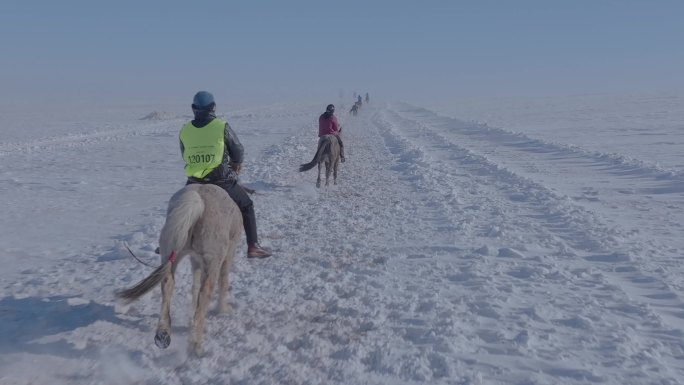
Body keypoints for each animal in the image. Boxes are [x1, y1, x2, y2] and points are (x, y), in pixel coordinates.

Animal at [117, 184, 243, 356]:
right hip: (212, 261)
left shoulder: (195, 260)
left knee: (167, 285)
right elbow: (223, 282)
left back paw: (163, 333)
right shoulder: (228, 253)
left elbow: (194, 286)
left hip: (171, 254)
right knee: (205, 294)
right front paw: (223, 310)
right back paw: (196, 344)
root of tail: (198, 201)